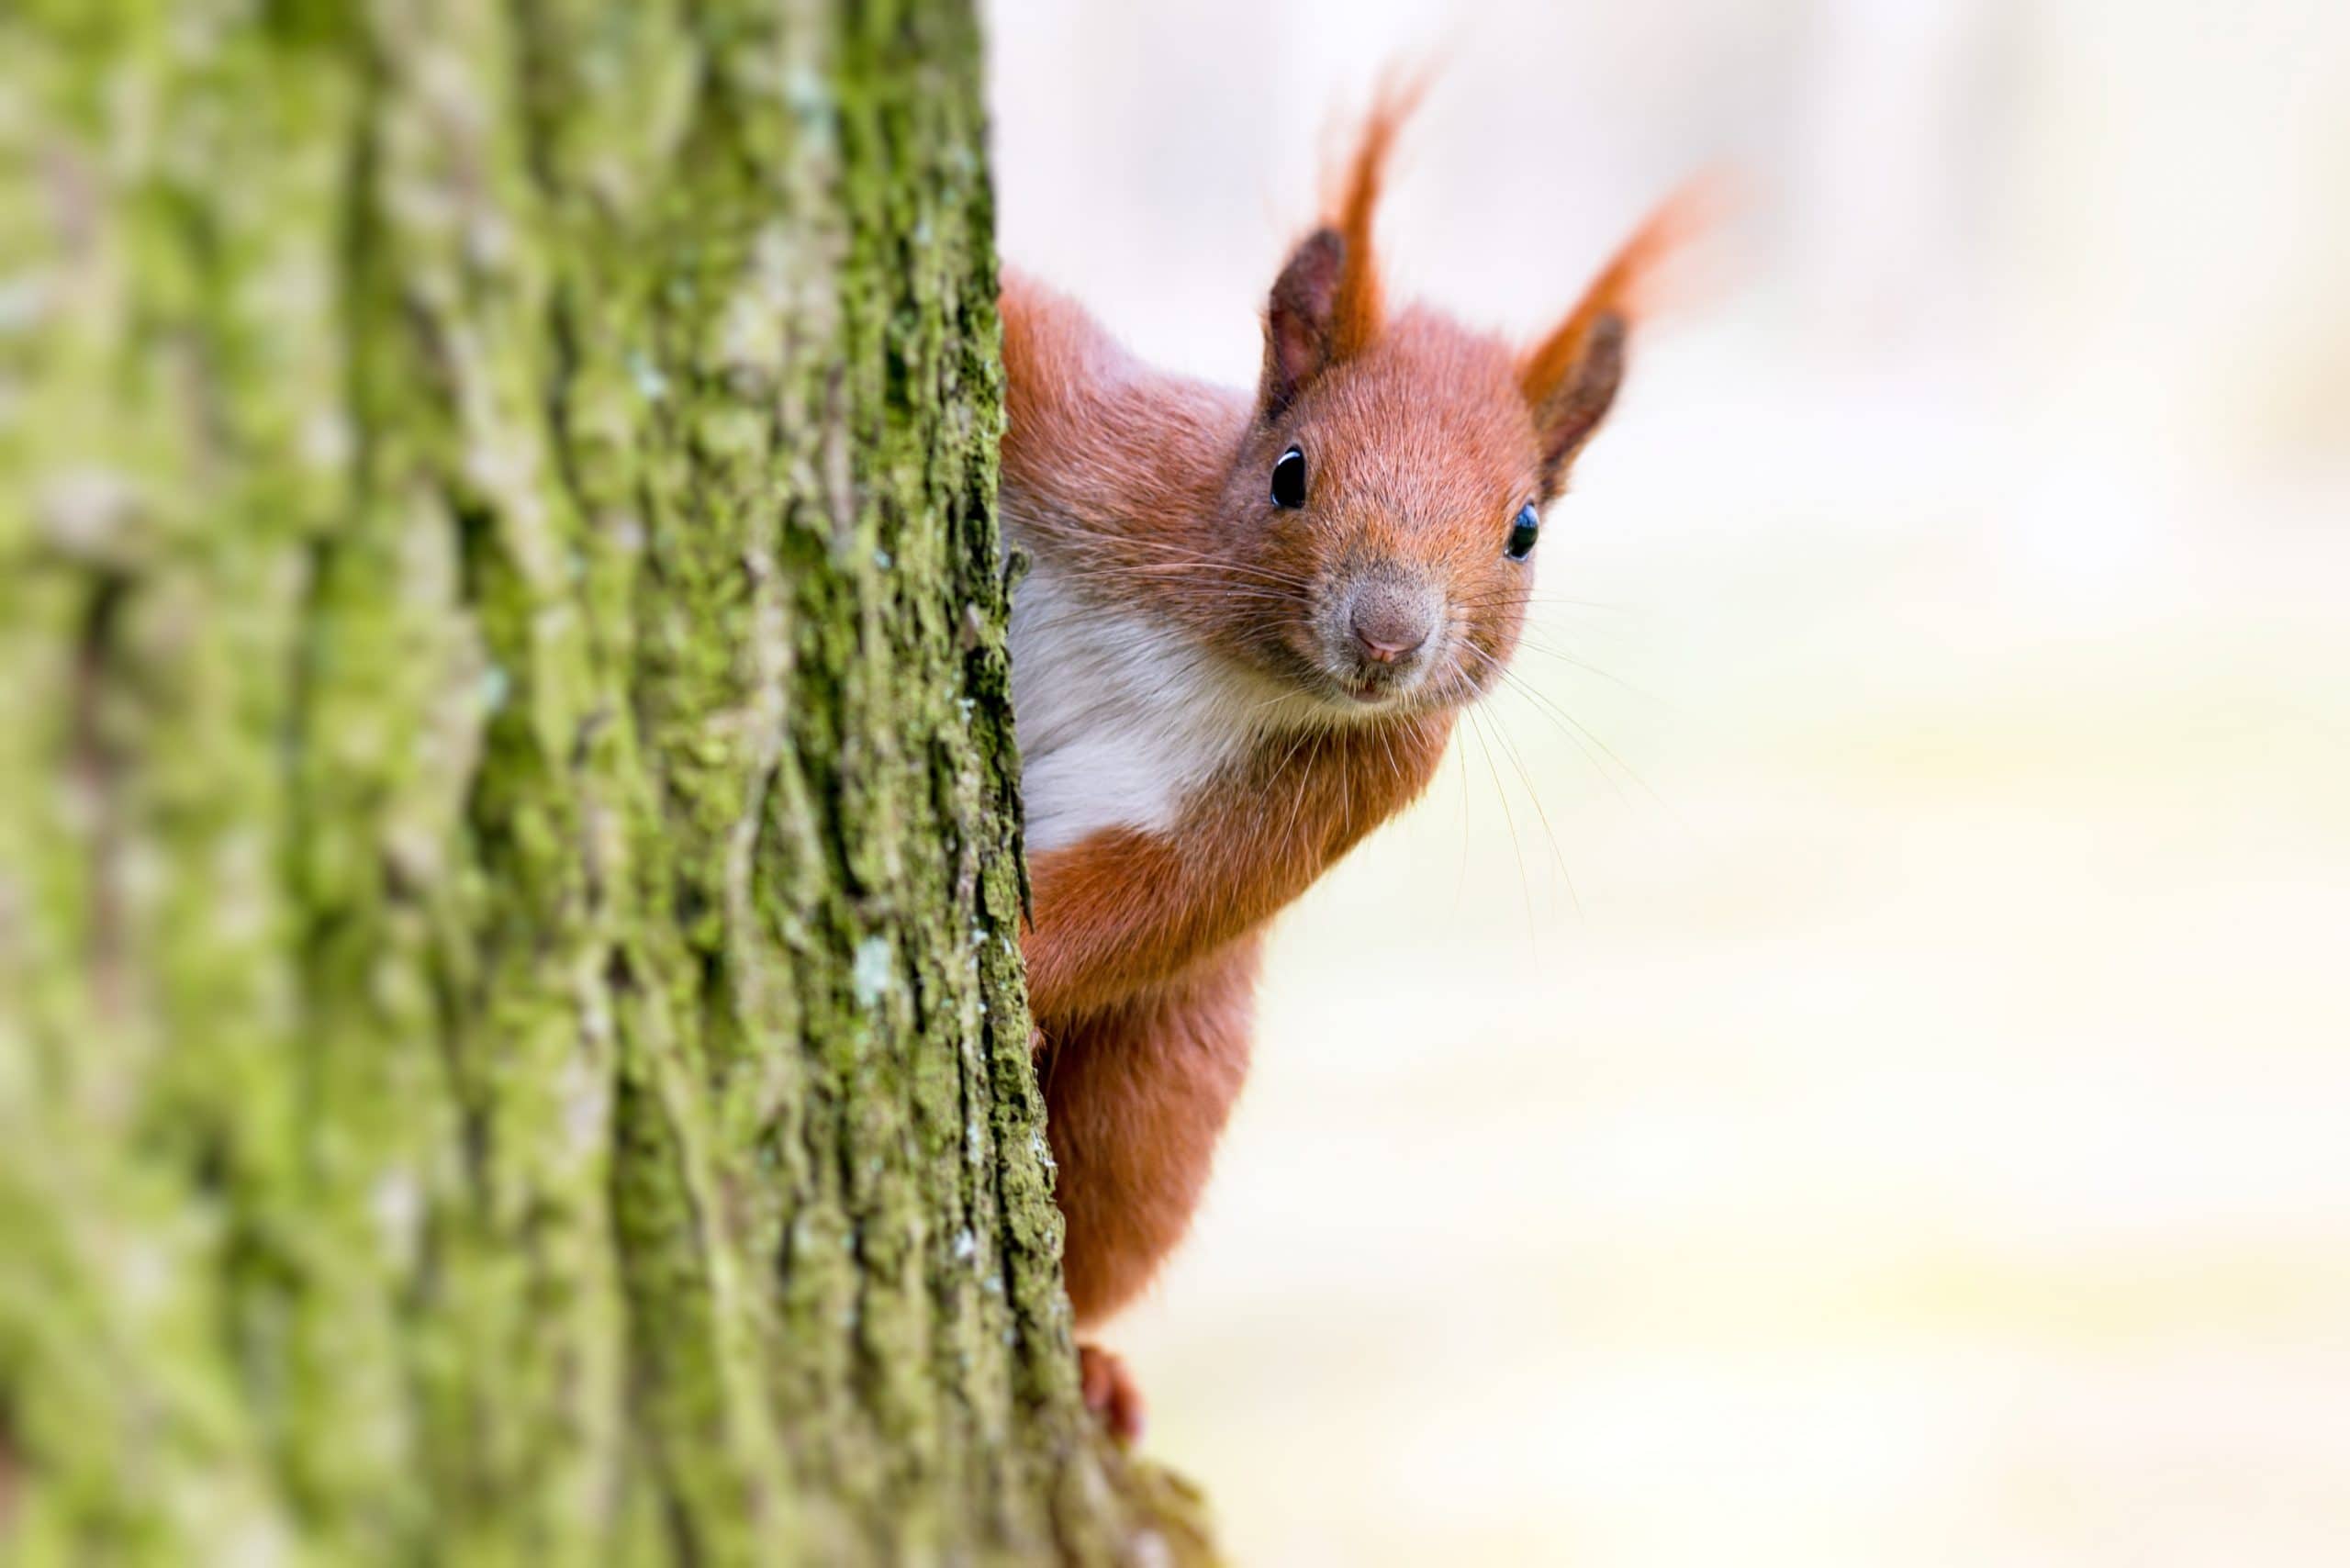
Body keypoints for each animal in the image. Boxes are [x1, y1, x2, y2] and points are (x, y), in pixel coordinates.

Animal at [991, 95, 1692, 1448]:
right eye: (1290, 471)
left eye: (1524, 530)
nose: (1388, 635)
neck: (1221, 647)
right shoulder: (1100, 439)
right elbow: (1020, 326)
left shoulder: (1345, 783)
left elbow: (1162, 900)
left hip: (1164, 1088)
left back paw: (1092, 1363)